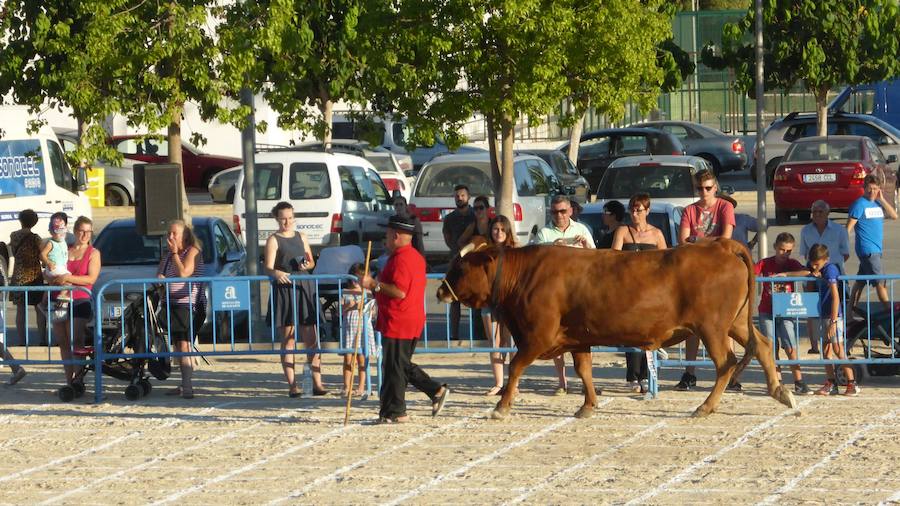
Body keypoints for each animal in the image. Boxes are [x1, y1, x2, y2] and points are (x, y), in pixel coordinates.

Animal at [436, 237, 797, 420]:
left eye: (461, 267)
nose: (440, 290)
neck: (526, 274)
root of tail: (719, 246)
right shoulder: (577, 338)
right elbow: (584, 371)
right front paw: (588, 405)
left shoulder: (537, 337)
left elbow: (514, 367)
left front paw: (501, 407)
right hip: (735, 322)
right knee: (763, 346)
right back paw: (780, 392)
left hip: (712, 327)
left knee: (726, 363)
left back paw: (705, 407)